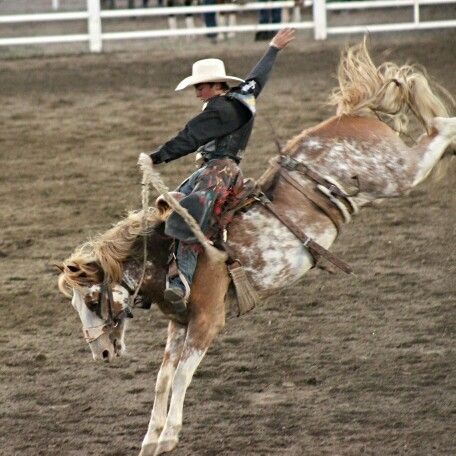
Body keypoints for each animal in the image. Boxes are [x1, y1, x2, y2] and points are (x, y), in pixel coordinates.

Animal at [58, 41, 456, 454]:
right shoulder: (178, 323)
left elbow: (182, 376)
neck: (168, 257)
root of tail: (355, 112)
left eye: (92, 301)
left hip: (396, 173)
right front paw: (150, 439)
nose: (101, 353)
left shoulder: (207, 321)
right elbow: (163, 378)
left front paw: (169, 435)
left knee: (440, 128)